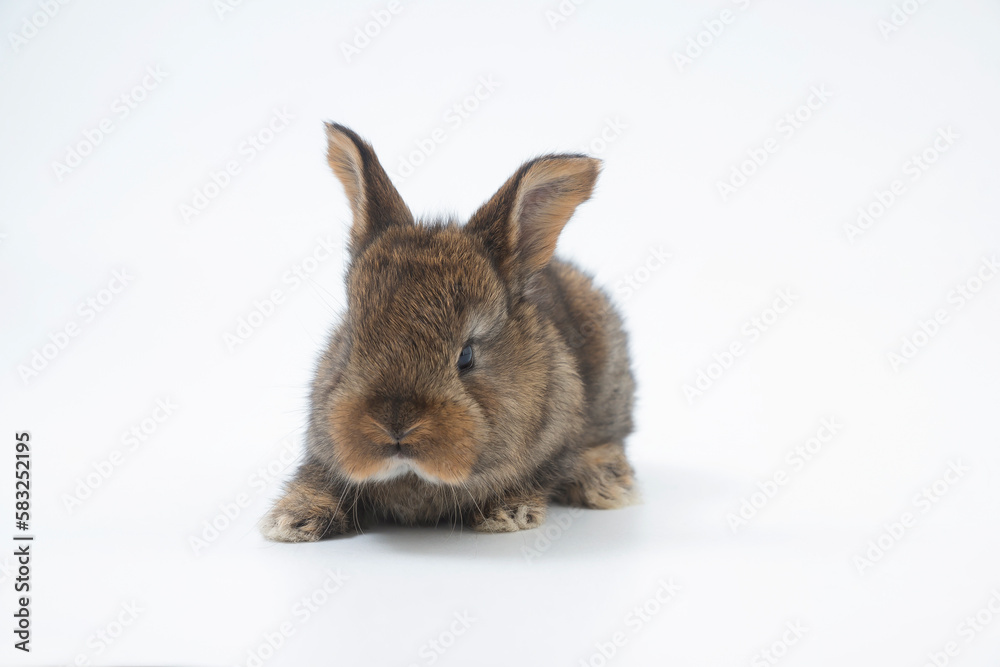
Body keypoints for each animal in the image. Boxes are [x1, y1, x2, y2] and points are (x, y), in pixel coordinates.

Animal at [260, 123, 637, 541]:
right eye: (350, 344)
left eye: (466, 357)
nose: (395, 426)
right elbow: (318, 479)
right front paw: (292, 519)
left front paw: (509, 512)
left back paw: (607, 482)